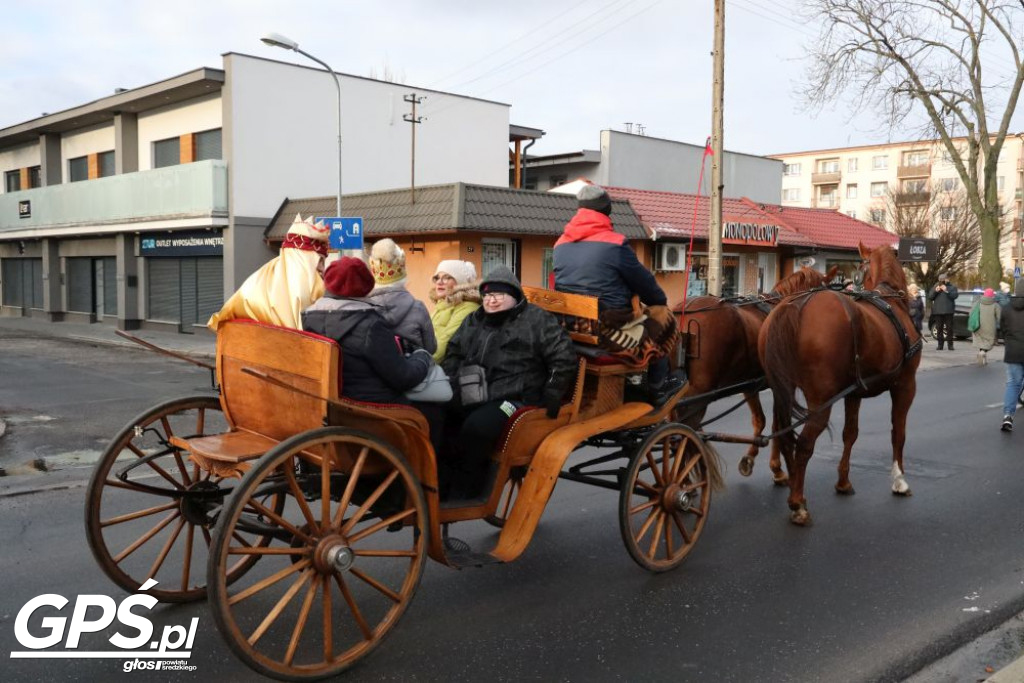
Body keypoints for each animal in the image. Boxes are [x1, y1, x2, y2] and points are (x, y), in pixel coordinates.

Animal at [675, 264, 835, 483]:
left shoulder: (750, 386)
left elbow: (760, 421)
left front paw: (749, 460)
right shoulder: (781, 386)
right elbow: (777, 425)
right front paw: (777, 469)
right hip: (698, 394)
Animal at [761, 242, 921, 528]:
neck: (889, 297)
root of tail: (796, 305)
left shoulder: (853, 393)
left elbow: (851, 434)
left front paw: (843, 481)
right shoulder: (905, 386)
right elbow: (898, 433)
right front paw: (899, 480)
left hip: (782, 391)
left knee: (782, 433)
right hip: (820, 401)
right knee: (804, 445)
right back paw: (797, 503)